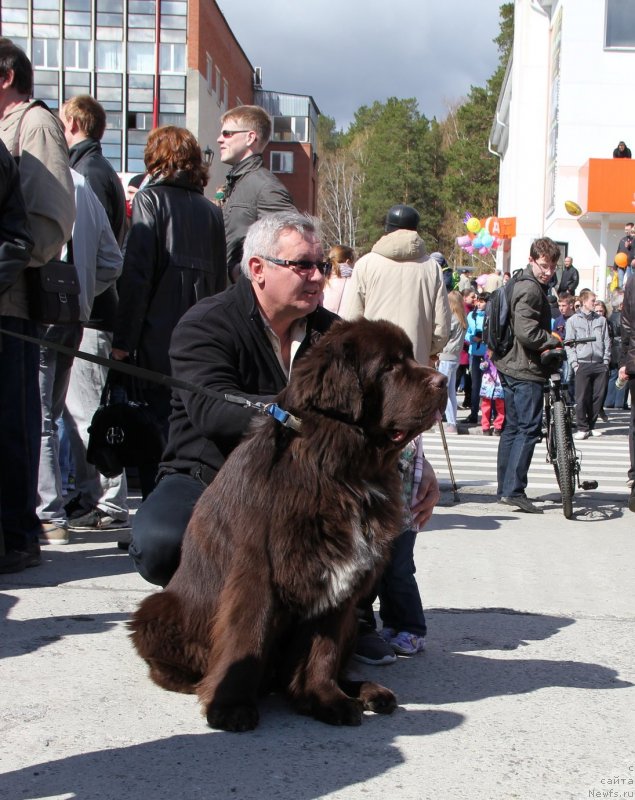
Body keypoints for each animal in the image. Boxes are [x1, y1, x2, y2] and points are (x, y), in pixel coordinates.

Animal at [129, 318, 448, 732]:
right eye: (389, 366)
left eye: (408, 357)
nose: (443, 380)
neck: (343, 472)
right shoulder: (258, 572)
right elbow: (246, 638)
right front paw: (230, 707)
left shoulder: (339, 586)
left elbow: (322, 652)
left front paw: (326, 700)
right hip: (155, 609)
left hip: (350, 621)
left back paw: (366, 692)